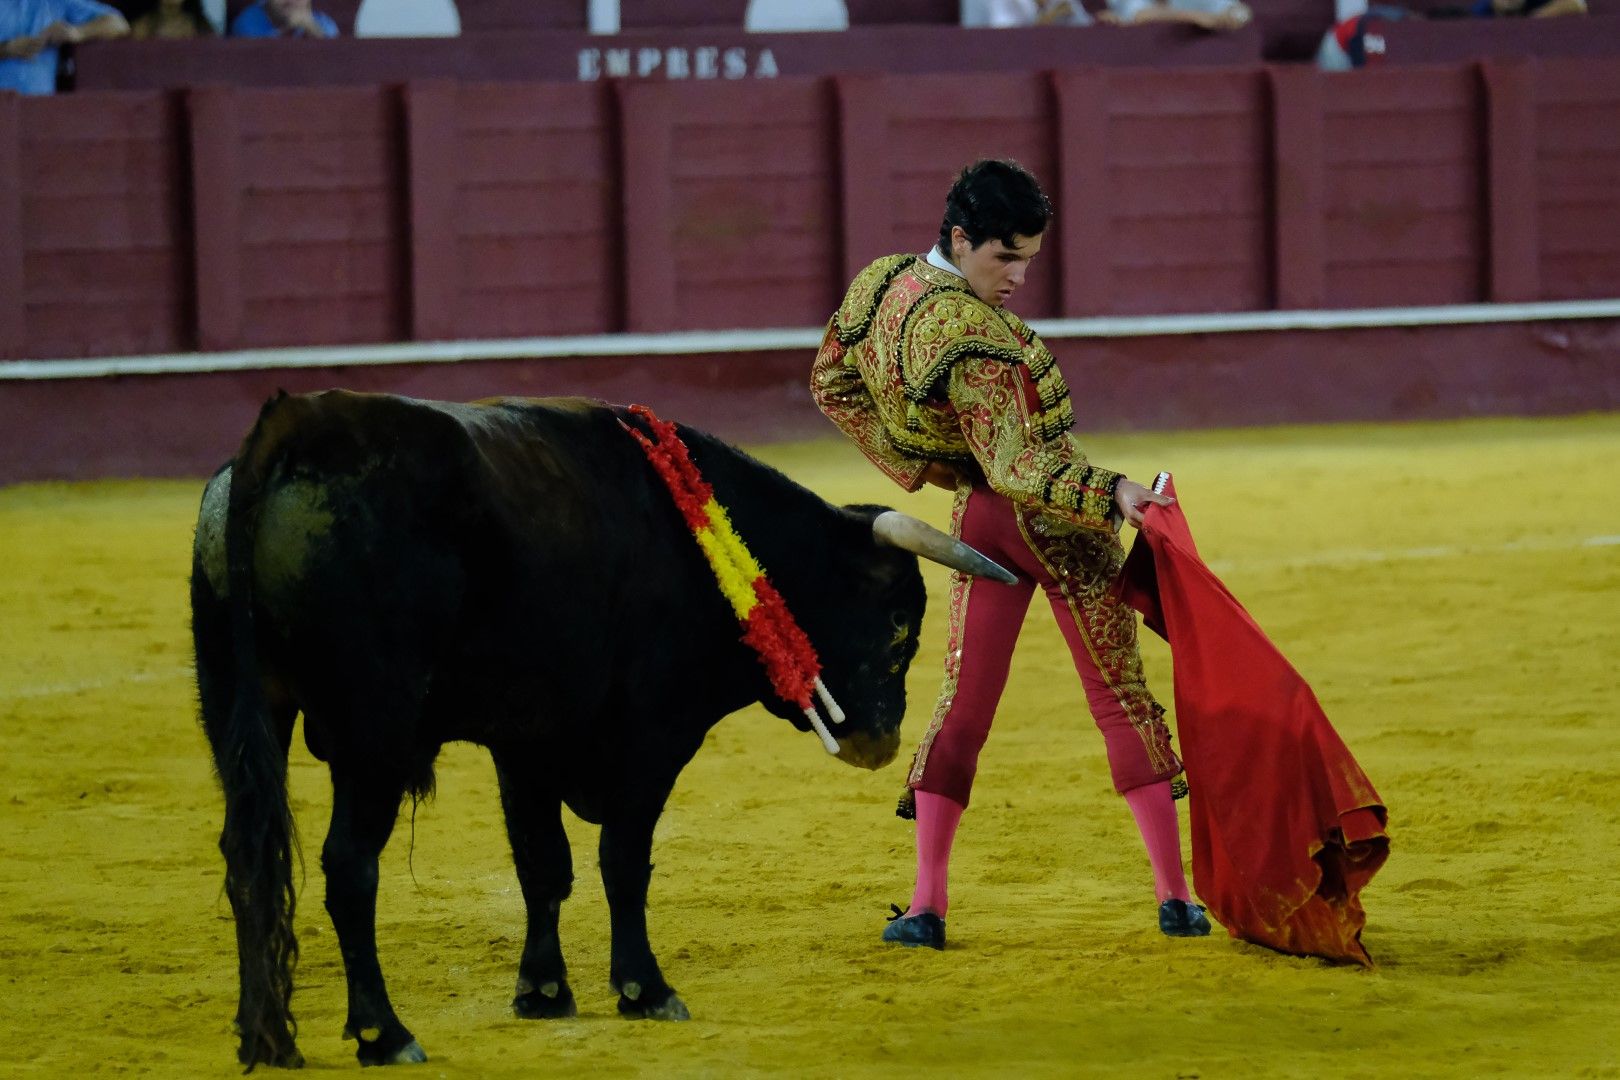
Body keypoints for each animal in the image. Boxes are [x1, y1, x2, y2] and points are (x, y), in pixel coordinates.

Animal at [192, 393, 1010, 1068]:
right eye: (900, 625)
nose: (880, 743)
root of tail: (291, 429)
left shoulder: (524, 741)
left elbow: (542, 864)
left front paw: (545, 993)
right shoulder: (652, 736)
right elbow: (623, 859)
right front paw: (645, 989)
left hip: (240, 706)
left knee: (245, 854)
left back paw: (264, 1037)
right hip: (375, 733)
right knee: (349, 865)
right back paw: (382, 1033)